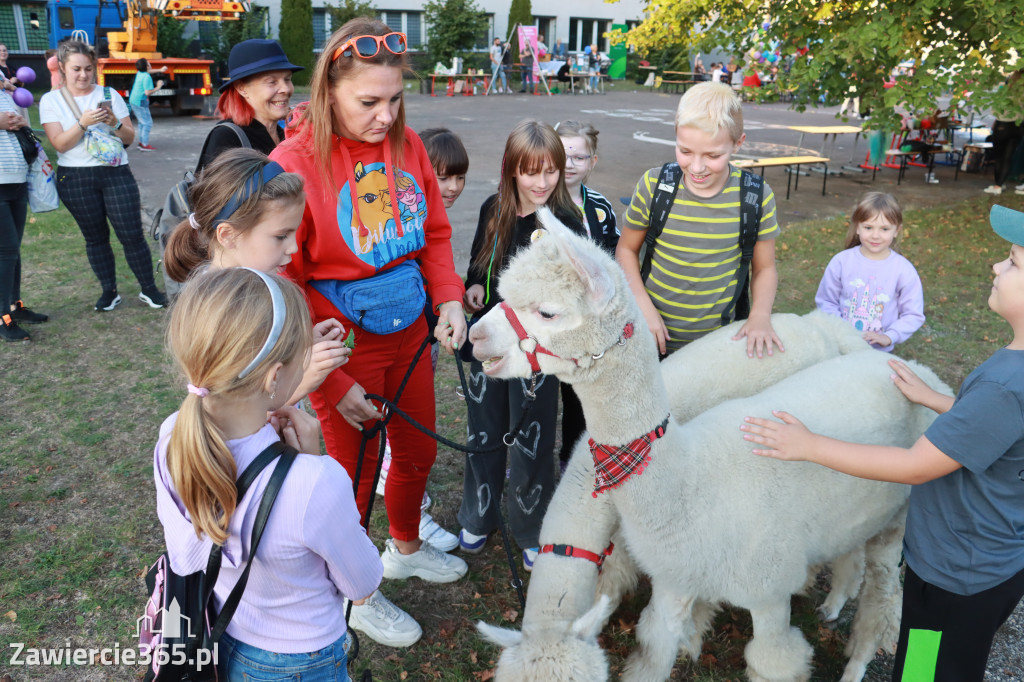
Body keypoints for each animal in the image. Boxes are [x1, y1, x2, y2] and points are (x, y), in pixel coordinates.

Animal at [471, 208, 950, 679]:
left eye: (547, 312)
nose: (474, 336)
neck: (692, 482)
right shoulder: (675, 573)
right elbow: (654, 647)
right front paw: (688, 641)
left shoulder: (759, 585)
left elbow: (772, 659)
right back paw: (831, 602)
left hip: (899, 518)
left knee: (882, 600)